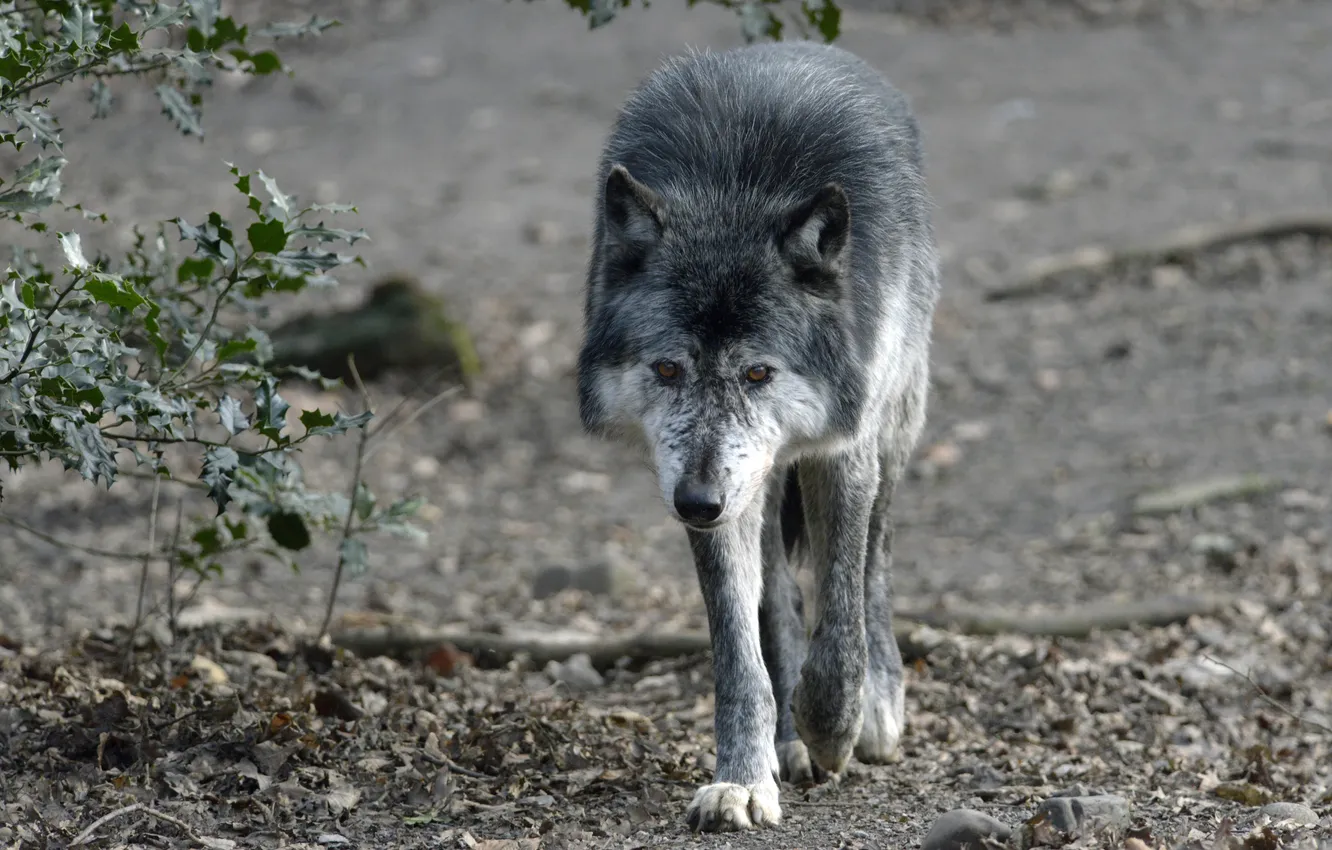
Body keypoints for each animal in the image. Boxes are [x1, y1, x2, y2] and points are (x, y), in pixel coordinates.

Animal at [576, 40, 940, 833]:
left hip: (895, 422)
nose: (697, 502)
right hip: (751, 480)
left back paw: (875, 705)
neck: (734, 191)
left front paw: (834, 728)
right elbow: (742, 653)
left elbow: (841, 621)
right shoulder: (710, 489)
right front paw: (745, 776)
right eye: (668, 368)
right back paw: (785, 740)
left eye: (757, 372)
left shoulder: (841, 453)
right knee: (776, 595)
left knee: (876, 563)